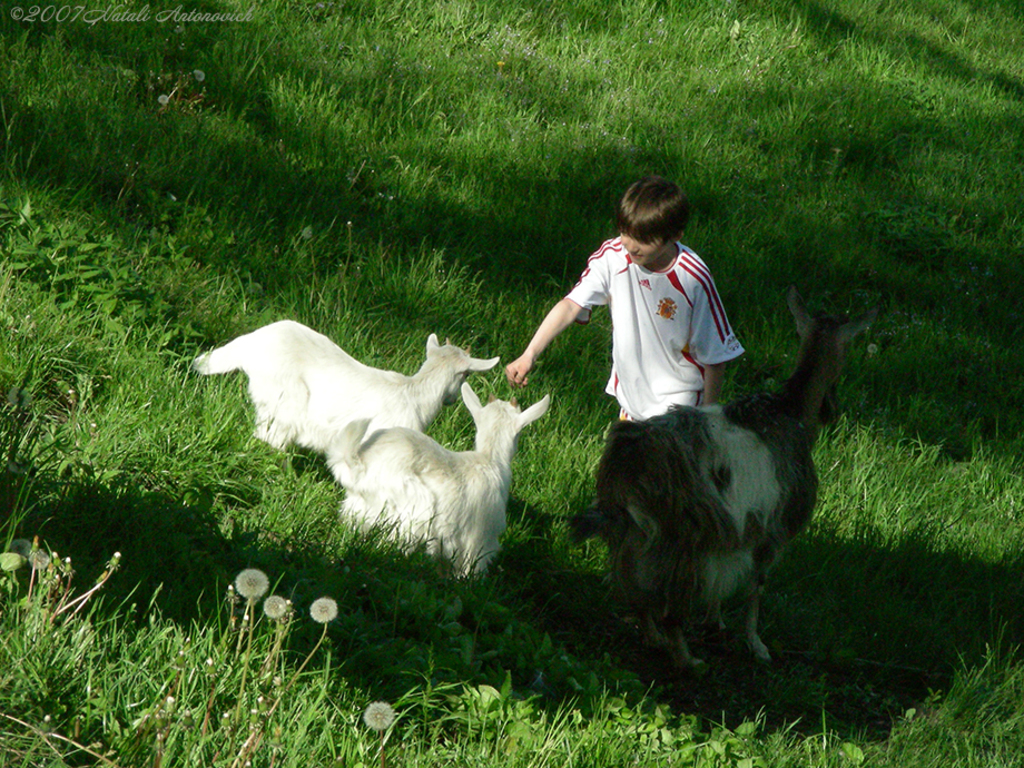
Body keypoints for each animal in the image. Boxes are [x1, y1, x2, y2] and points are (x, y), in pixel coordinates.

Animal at [573, 286, 876, 667]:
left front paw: (715, 621)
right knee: (668, 605)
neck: (792, 413)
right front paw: (757, 645)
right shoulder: (772, 530)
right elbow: (756, 586)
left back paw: (653, 638)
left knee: (632, 586)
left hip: (632, 535)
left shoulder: (737, 528)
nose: (832, 408)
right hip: (682, 538)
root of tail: (625, 466)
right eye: (850, 348)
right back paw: (688, 660)